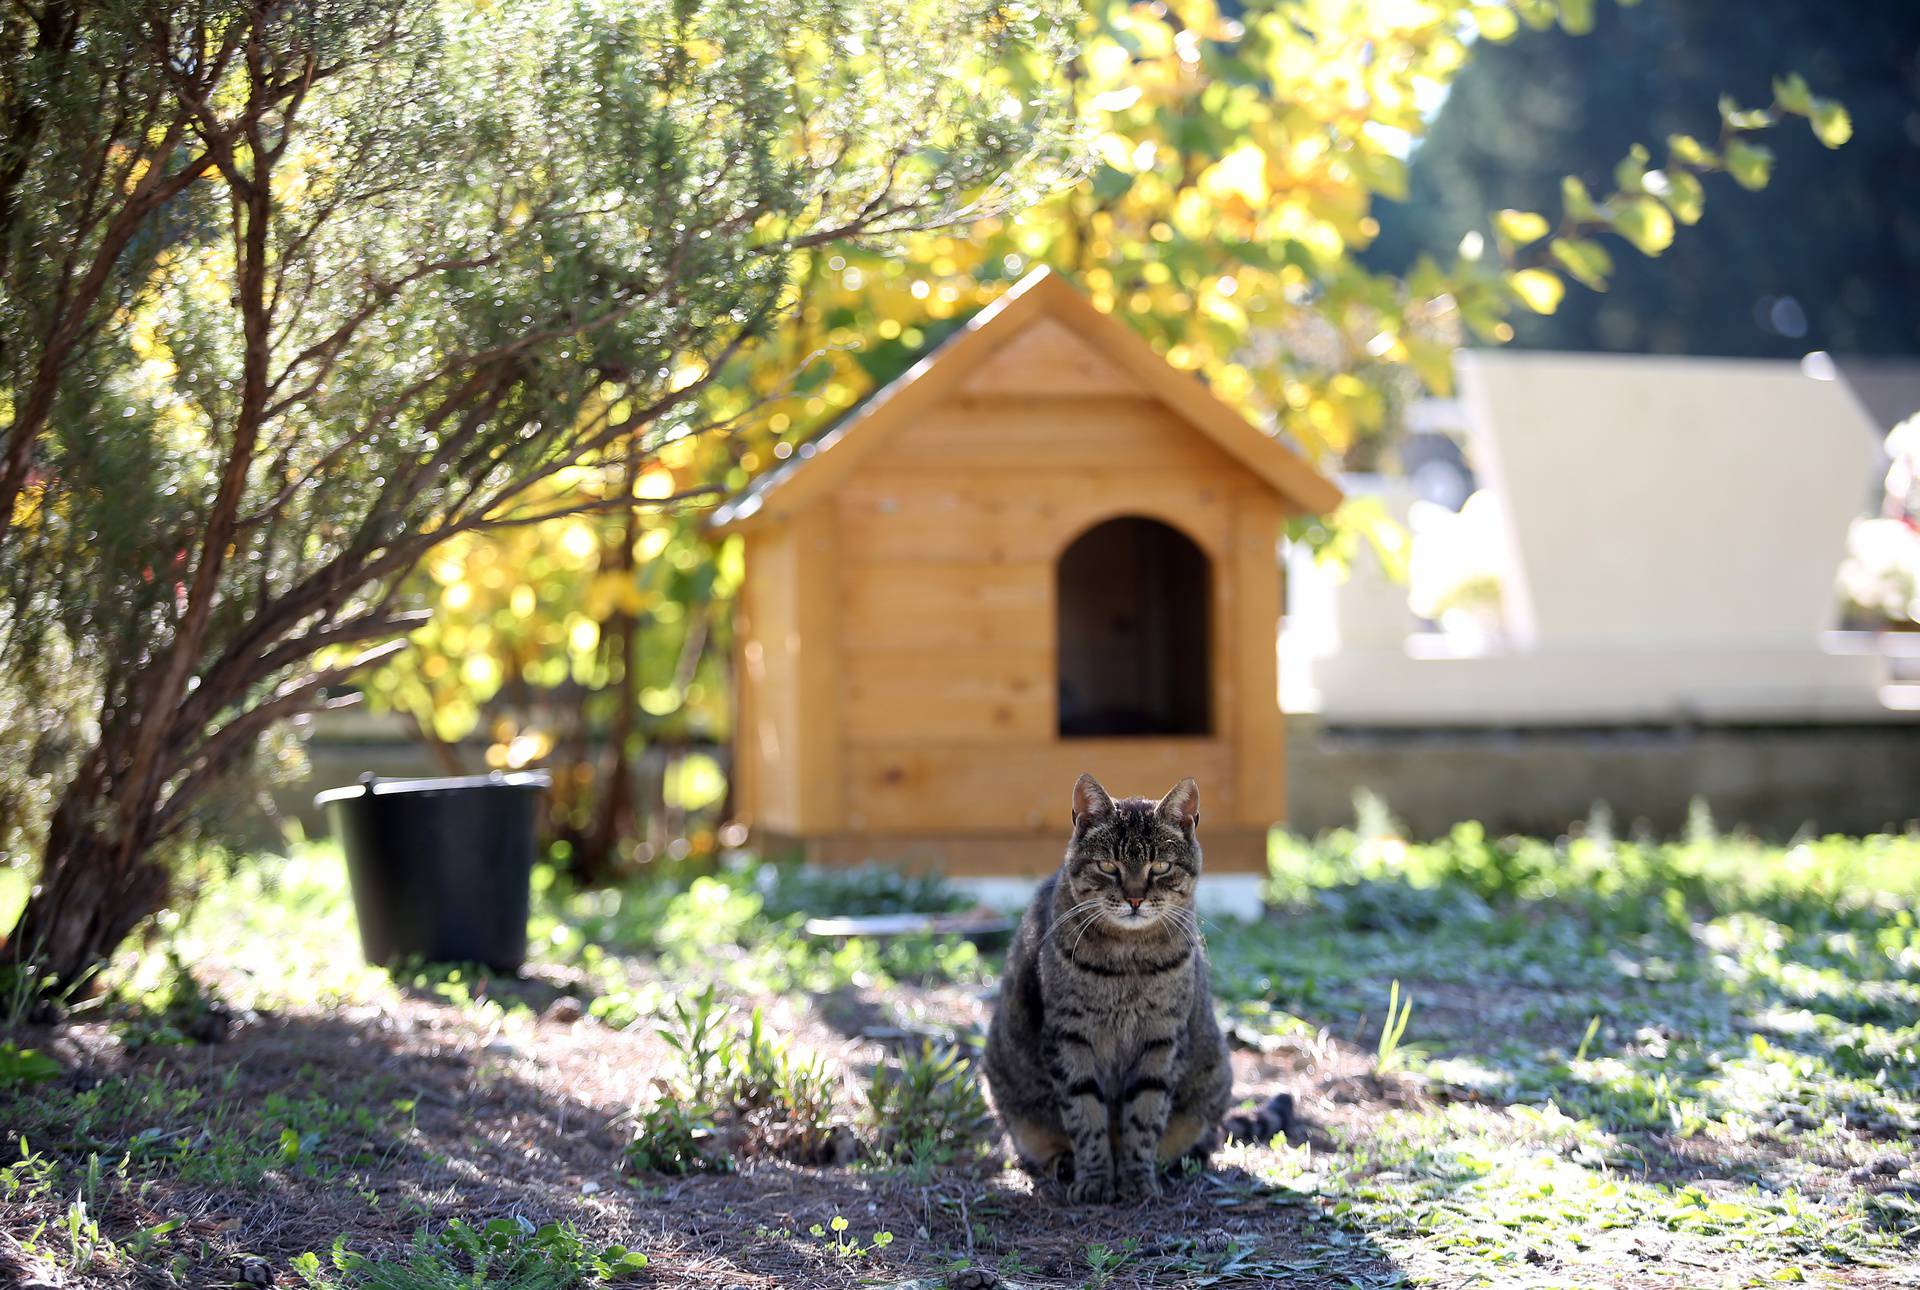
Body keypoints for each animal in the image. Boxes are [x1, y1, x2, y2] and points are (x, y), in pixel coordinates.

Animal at [983, 771, 1282, 1205]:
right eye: (1109, 865)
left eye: (1161, 866)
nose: (1136, 898)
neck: (1130, 962)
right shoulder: (1071, 1035)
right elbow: (1085, 1113)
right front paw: (1094, 1180)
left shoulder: (1161, 1037)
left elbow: (1145, 1114)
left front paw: (1138, 1178)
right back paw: (1064, 1163)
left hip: (1215, 1075)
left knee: (1206, 1137)